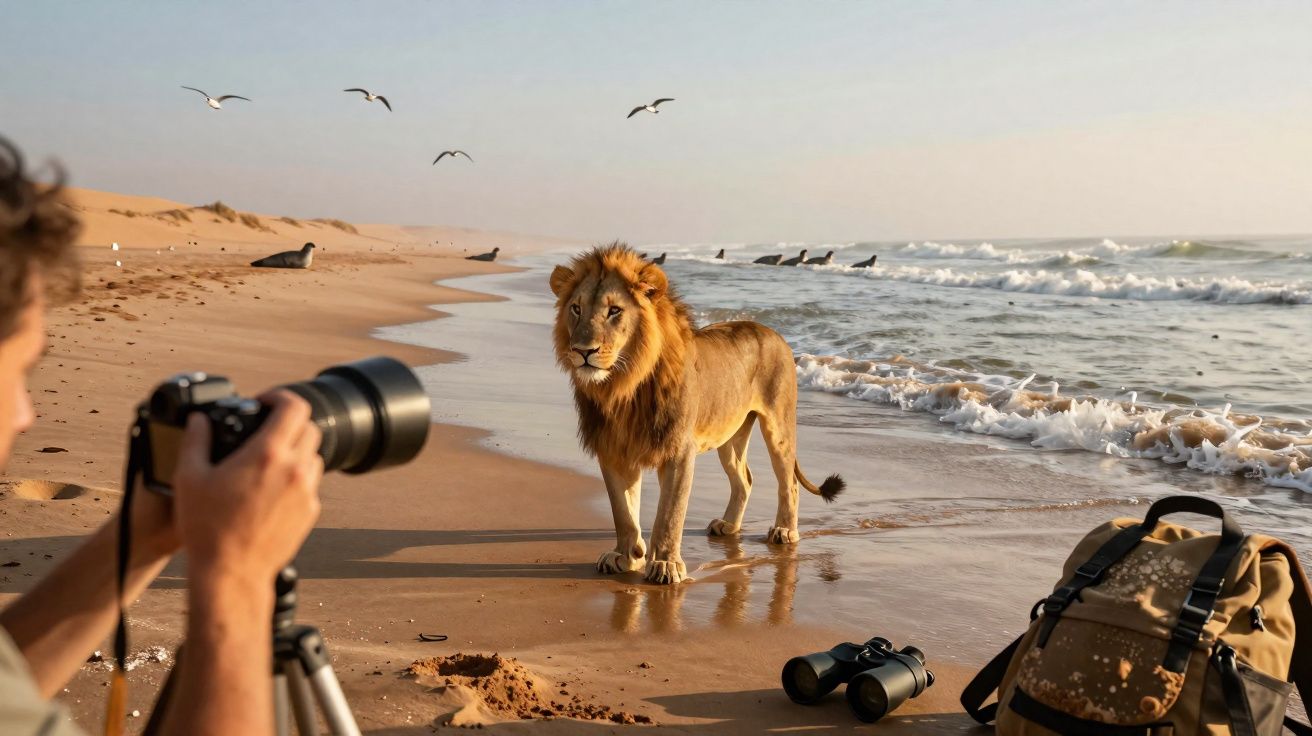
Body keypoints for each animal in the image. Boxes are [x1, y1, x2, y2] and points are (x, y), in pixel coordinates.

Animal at [549, 243, 843, 585]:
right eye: (576, 309)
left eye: (614, 311)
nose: (583, 351)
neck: (623, 386)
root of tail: (772, 331)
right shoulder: (613, 448)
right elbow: (622, 511)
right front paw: (627, 555)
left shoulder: (678, 450)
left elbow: (670, 513)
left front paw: (665, 564)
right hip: (730, 435)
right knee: (744, 478)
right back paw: (728, 526)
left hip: (778, 426)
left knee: (789, 482)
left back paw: (784, 531)